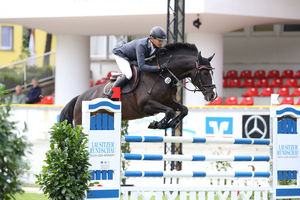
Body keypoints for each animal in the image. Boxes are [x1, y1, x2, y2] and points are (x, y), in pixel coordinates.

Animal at [59, 42, 218, 129]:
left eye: (212, 72)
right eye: (204, 73)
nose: (212, 96)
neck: (162, 75)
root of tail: (80, 97)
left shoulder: (168, 101)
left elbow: (183, 110)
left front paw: (169, 124)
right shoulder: (146, 105)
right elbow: (170, 112)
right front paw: (158, 124)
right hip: (82, 121)